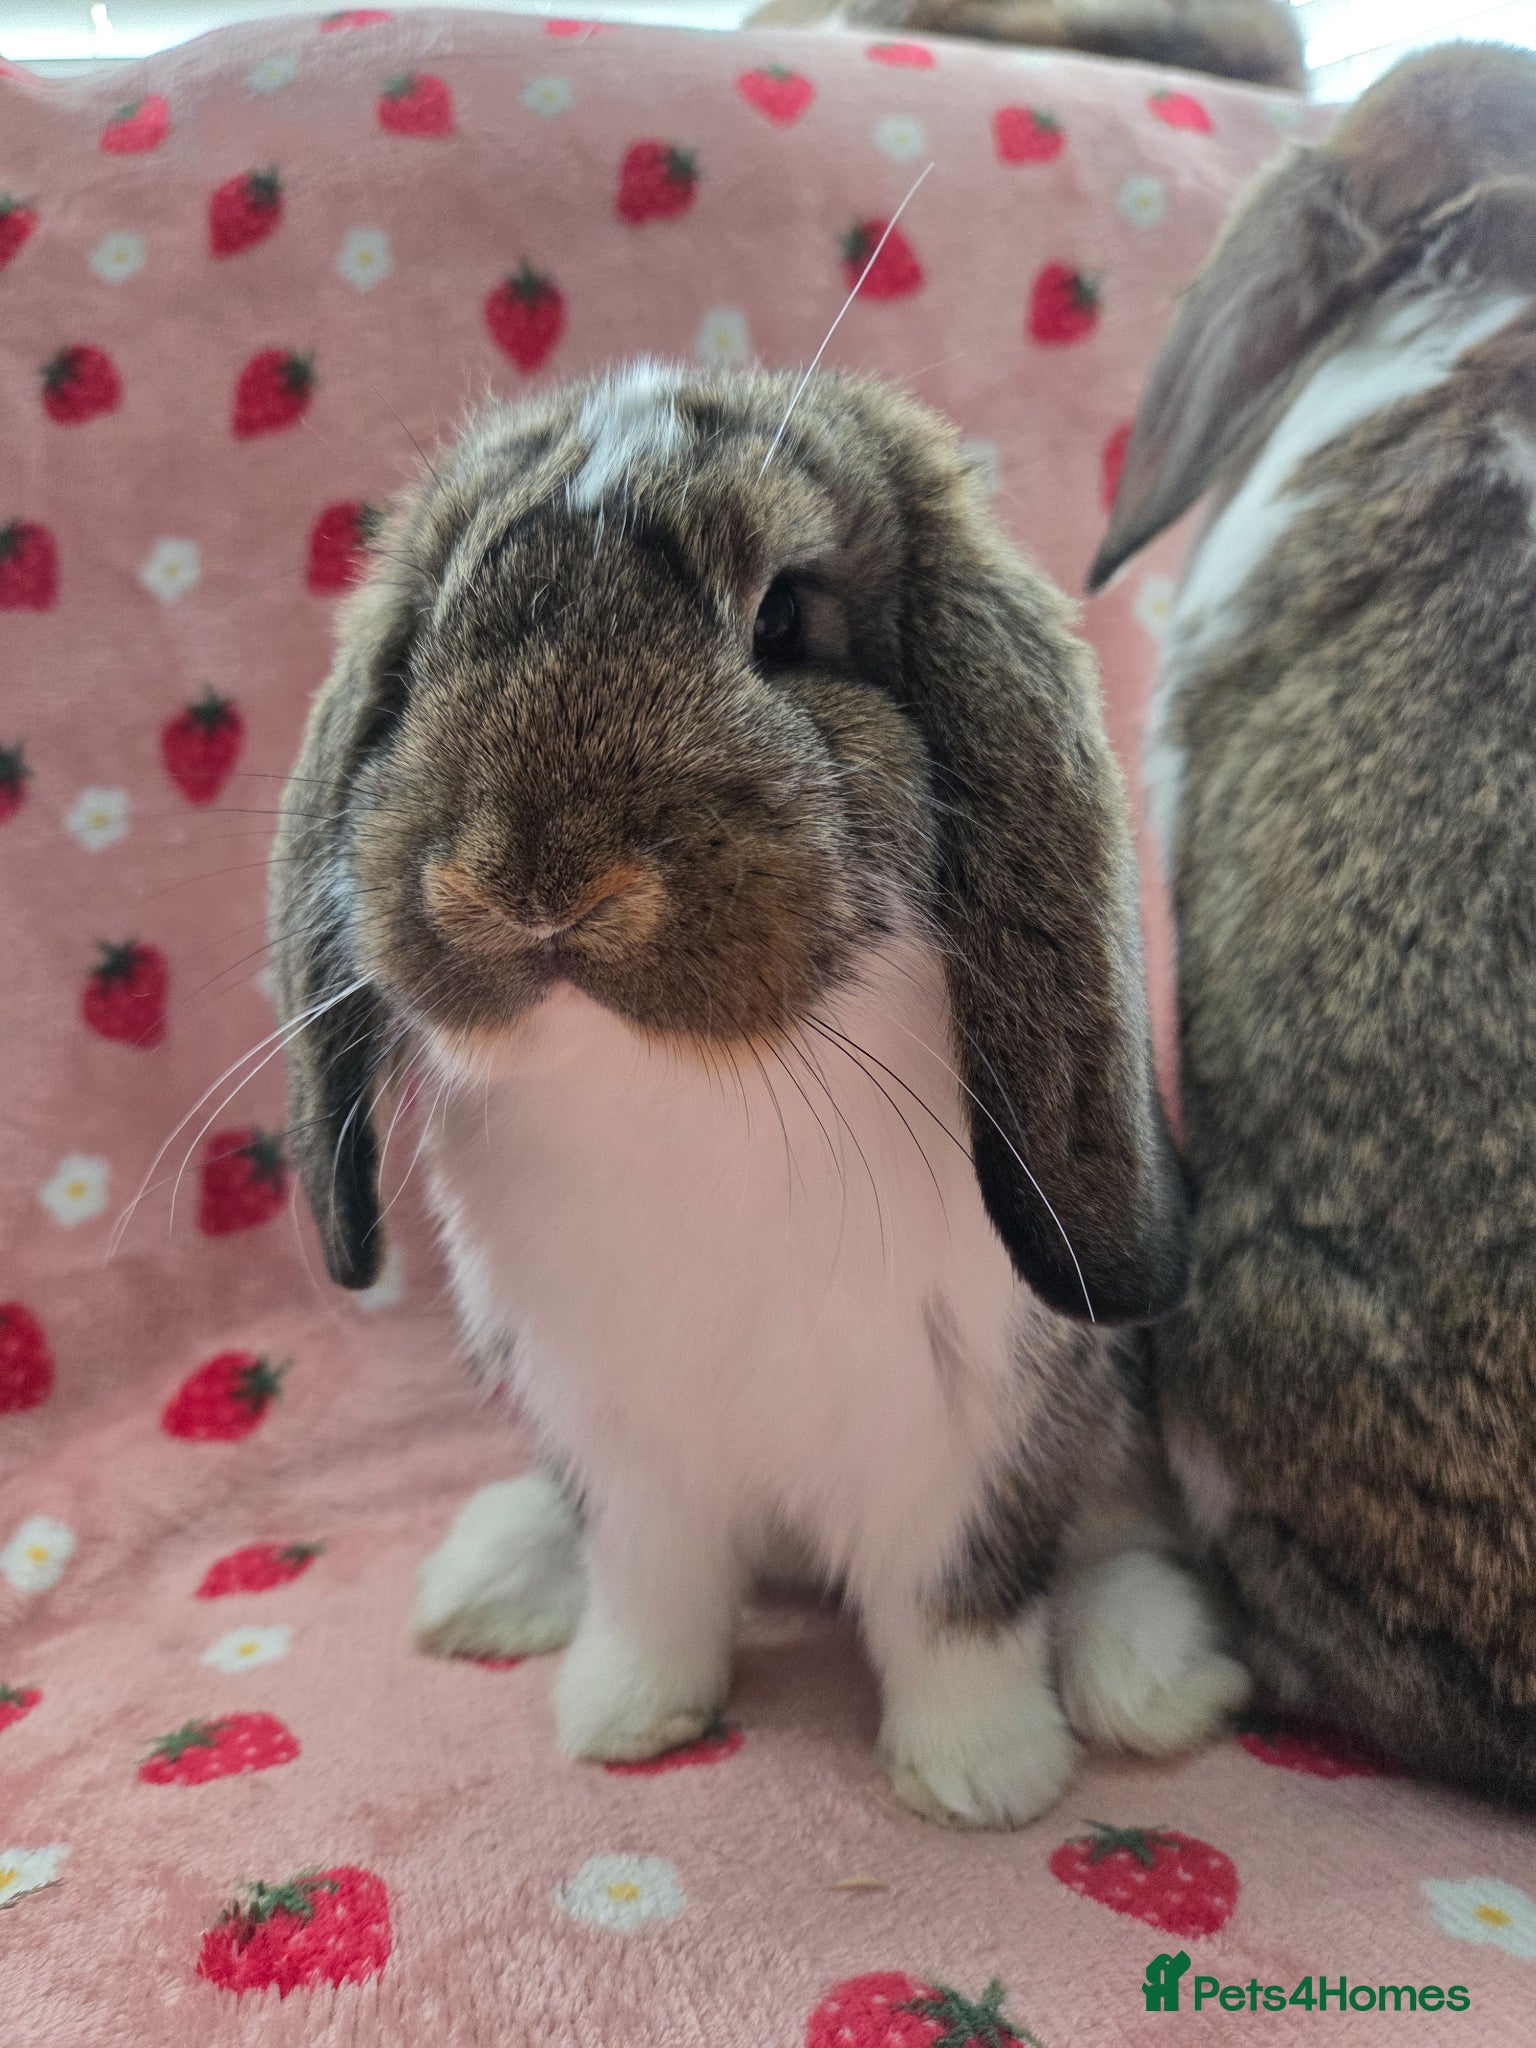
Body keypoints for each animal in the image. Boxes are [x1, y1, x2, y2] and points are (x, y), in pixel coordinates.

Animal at [271, 363, 1249, 1827]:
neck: (682, 1091)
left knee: (1108, 1543)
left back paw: (1152, 1678)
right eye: (437, 634)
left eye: (783, 616)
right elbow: (650, 1591)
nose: (538, 887)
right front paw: (623, 1719)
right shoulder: (624, 1447)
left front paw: (978, 1779)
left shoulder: (964, 1435)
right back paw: (484, 1584)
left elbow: (959, 1607)